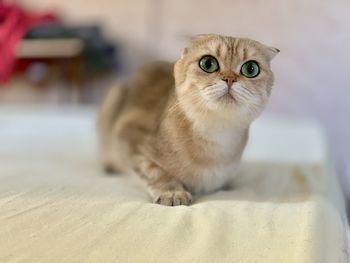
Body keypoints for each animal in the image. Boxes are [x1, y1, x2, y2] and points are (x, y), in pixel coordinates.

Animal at [98, 34, 278, 206]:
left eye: (251, 69)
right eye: (208, 64)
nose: (229, 79)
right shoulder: (129, 134)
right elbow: (154, 171)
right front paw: (171, 192)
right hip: (114, 95)